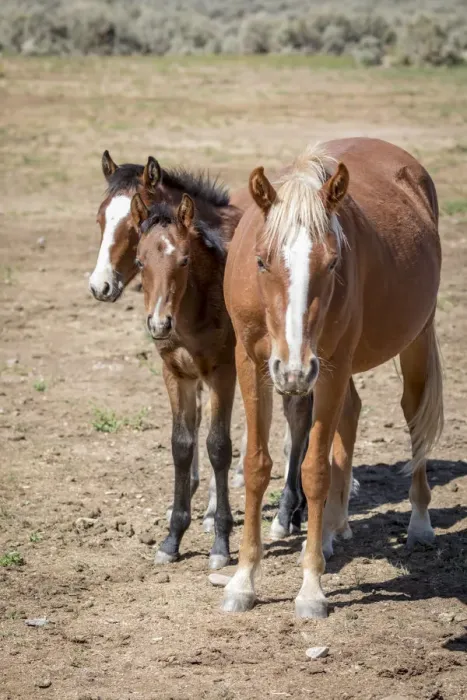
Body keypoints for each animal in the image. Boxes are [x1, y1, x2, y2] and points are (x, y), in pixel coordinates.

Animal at [130, 192, 240, 568]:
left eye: (185, 260)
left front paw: (221, 543)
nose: (159, 323)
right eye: (139, 261)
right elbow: (181, 445)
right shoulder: (177, 375)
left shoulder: (224, 371)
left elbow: (218, 446)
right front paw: (172, 538)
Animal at [222, 137, 443, 617]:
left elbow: (314, 471)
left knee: (415, 417)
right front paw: (242, 581)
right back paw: (332, 530)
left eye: (333, 261)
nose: (293, 368)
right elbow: (256, 465)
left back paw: (418, 524)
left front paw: (311, 589)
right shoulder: (250, 364)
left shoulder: (332, 364)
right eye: (261, 262)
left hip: (413, 340)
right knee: (351, 414)